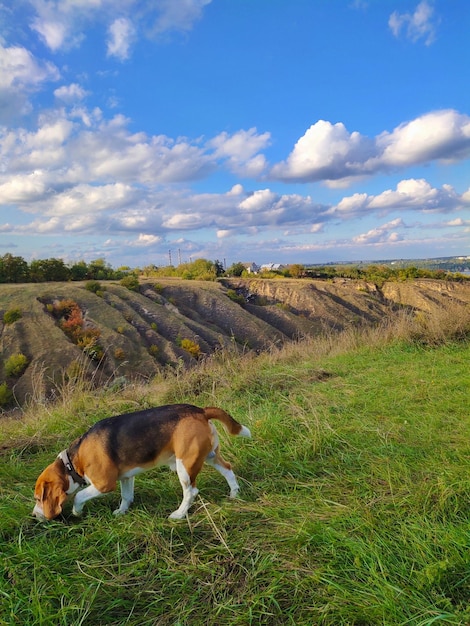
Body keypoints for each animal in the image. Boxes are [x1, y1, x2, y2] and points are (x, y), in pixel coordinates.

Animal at [33, 402, 252, 520]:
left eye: (38, 499)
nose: (34, 515)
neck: (73, 460)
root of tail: (200, 410)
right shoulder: (126, 477)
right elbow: (126, 496)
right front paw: (121, 512)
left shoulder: (104, 484)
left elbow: (79, 496)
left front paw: (77, 512)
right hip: (209, 456)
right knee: (228, 468)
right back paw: (234, 493)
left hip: (185, 465)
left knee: (191, 491)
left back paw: (179, 514)